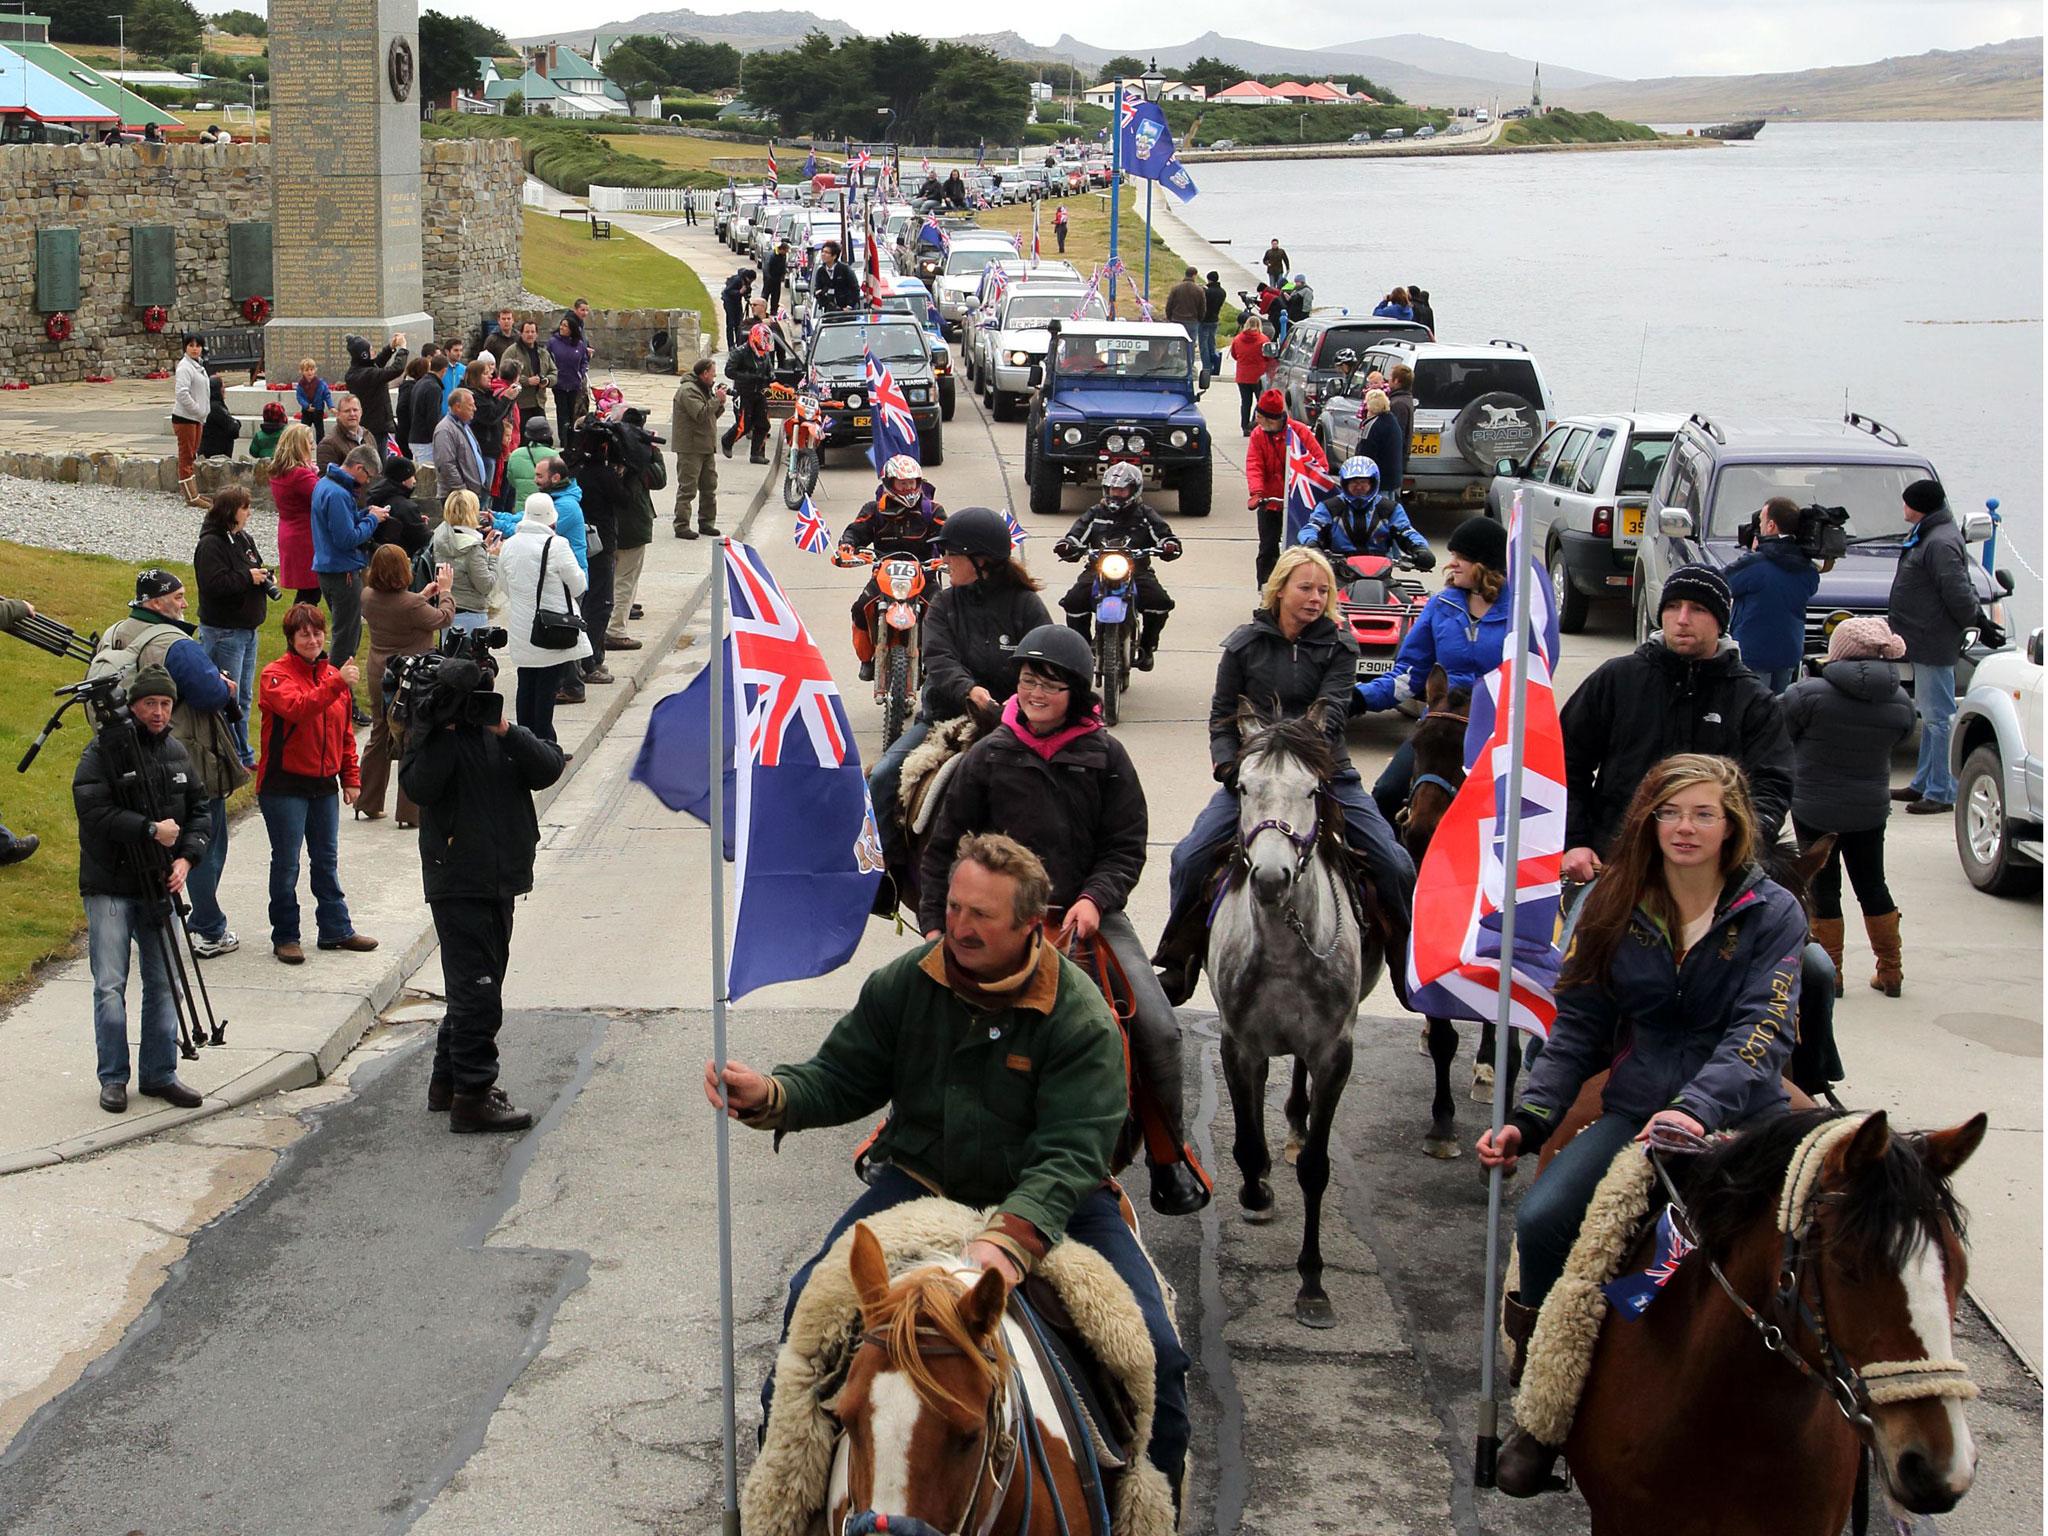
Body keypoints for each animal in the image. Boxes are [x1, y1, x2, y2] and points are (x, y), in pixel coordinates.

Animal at [1204, 708, 1384, 1327]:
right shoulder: (1238, 1045)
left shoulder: (1334, 1053)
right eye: (1241, 786)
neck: (1284, 948)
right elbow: (1244, 1143)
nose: (1270, 877)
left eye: (1313, 790)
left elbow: (1315, 1168)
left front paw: (1312, 1283)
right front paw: (1255, 1193)